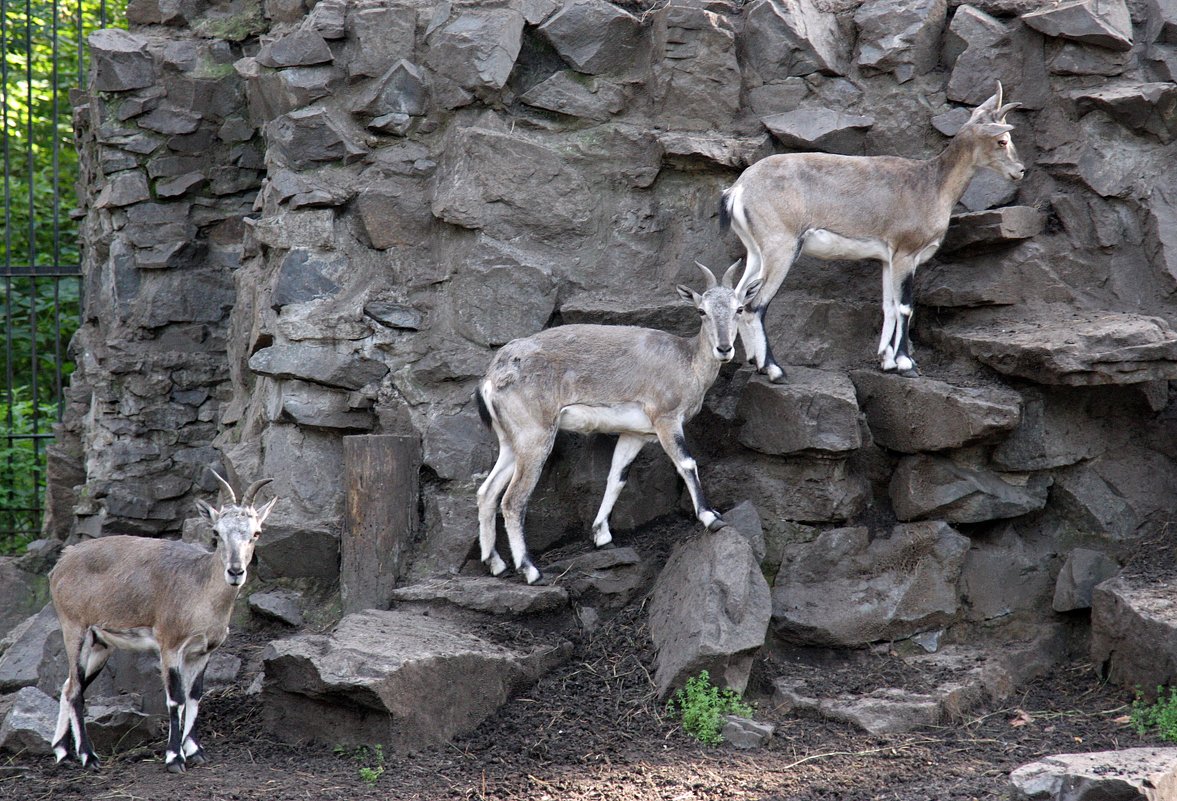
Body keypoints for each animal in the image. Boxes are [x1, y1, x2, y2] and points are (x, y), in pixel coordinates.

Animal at [49, 472, 276, 771]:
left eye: (255, 533)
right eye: (216, 533)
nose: (235, 571)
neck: (201, 591)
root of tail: (61, 563)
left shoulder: (202, 652)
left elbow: (194, 695)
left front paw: (195, 750)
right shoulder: (170, 646)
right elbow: (175, 699)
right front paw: (174, 757)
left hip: (100, 644)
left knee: (68, 685)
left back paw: (62, 751)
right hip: (75, 629)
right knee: (75, 689)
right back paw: (88, 756)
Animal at [473, 261, 757, 581]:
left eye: (739, 308)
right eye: (701, 311)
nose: (724, 348)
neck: (686, 362)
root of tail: (492, 377)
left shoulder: (635, 434)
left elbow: (617, 477)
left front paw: (601, 535)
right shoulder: (666, 419)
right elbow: (686, 463)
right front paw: (711, 517)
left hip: (512, 441)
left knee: (487, 492)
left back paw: (495, 562)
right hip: (535, 436)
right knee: (513, 500)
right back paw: (530, 569)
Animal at [715, 83, 1021, 381]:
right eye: (1003, 140)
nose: (1020, 170)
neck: (931, 184)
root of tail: (738, 189)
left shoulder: (887, 259)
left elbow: (889, 305)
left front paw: (887, 361)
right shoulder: (905, 254)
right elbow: (905, 306)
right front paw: (906, 364)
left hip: (757, 252)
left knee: (740, 298)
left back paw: (755, 362)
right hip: (781, 248)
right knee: (756, 305)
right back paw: (773, 369)